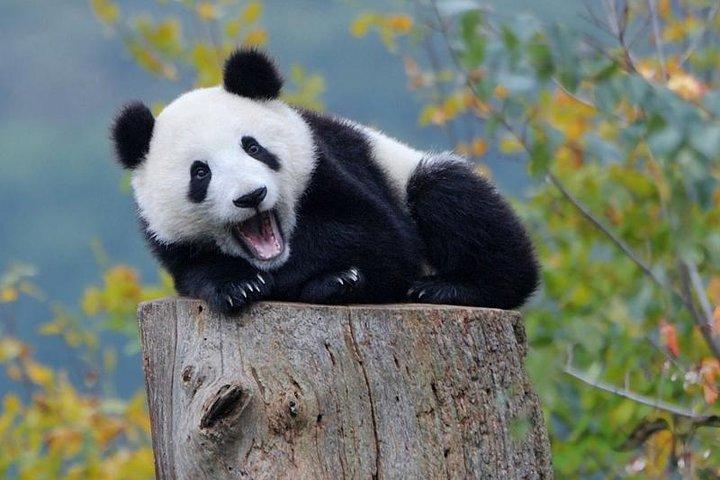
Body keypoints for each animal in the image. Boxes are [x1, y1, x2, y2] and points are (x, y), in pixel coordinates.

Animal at [112, 49, 539, 315]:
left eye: (253, 147)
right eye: (201, 172)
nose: (251, 196)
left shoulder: (330, 166)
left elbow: (380, 237)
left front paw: (331, 277)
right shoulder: (168, 240)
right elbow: (195, 272)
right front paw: (238, 287)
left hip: (409, 173)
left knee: (452, 199)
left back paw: (447, 287)